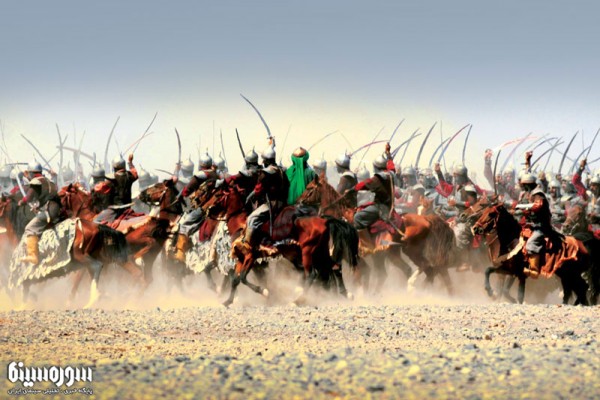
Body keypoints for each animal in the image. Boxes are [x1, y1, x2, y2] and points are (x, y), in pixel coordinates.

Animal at [204, 178, 359, 307]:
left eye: (217, 195)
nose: (207, 210)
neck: (240, 224)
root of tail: (325, 220)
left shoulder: (250, 256)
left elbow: (242, 278)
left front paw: (264, 292)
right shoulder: (241, 258)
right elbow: (235, 280)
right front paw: (227, 301)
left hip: (308, 253)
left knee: (312, 275)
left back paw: (297, 300)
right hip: (320, 252)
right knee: (335, 268)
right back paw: (345, 294)